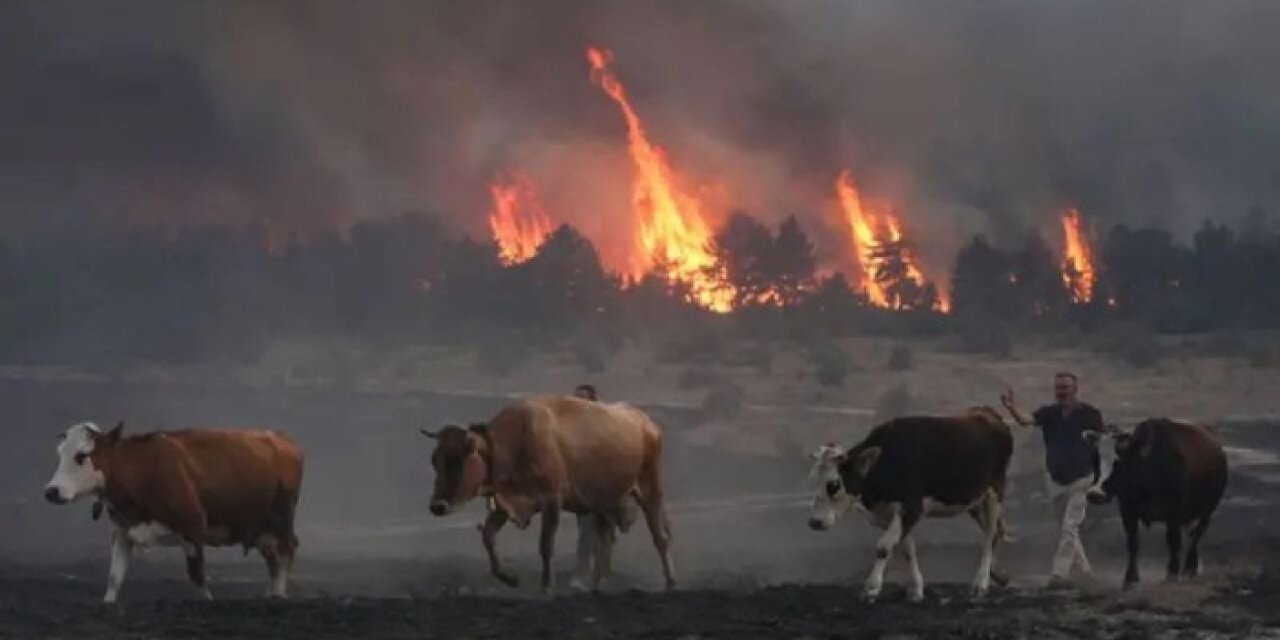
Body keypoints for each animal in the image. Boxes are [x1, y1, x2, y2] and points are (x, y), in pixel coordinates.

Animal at [43, 422, 304, 601]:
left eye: (81, 456)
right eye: (60, 453)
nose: (51, 491)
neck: (141, 472)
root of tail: (283, 440)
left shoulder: (193, 528)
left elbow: (197, 576)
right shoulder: (122, 531)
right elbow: (114, 577)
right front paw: (107, 604)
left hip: (281, 522)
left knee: (285, 555)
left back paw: (278, 598)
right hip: (261, 530)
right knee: (274, 561)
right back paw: (271, 595)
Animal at [803, 407, 1013, 601]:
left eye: (834, 485)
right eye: (812, 480)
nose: (814, 522)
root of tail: (987, 412)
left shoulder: (911, 509)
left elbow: (884, 547)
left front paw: (872, 587)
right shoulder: (891, 514)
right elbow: (907, 550)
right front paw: (917, 589)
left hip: (995, 492)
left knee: (989, 536)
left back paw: (981, 584)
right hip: (973, 502)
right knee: (994, 533)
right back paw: (998, 575)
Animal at [1090, 417, 1228, 586]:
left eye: (1119, 462)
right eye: (1095, 461)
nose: (1095, 493)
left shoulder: (1174, 514)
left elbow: (1173, 541)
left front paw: (1172, 573)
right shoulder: (1128, 511)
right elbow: (1133, 542)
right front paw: (1130, 578)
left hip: (1207, 510)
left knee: (1197, 534)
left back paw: (1189, 567)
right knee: (1193, 534)